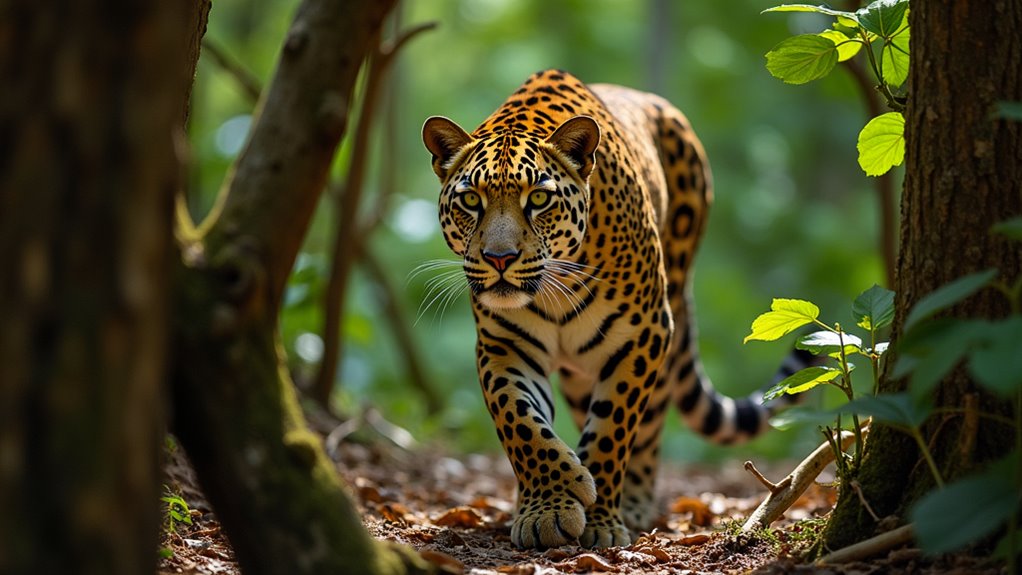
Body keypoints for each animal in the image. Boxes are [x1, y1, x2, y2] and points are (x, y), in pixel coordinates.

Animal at [421, 69, 808, 549]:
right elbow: (521, 423)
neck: (554, 288)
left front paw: (599, 517)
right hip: (579, 371)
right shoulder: (504, 345)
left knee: (651, 421)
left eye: (539, 200)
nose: (499, 258)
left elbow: (612, 430)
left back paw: (633, 502)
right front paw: (550, 504)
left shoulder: (641, 335)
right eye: (471, 200)